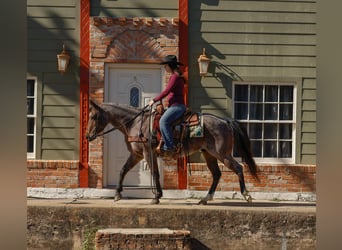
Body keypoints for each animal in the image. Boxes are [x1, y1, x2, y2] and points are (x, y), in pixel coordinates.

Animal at [87, 99, 258, 205]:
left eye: (94, 116)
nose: (88, 136)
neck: (136, 122)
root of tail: (225, 121)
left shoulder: (147, 153)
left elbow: (155, 173)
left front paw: (156, 197)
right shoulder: (137, 154)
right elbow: (123, 170)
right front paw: (117, 194)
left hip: (222, 154)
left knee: (238, 168)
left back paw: (246, 195)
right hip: (209, 154)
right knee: (217, 174)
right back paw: (205, 199)